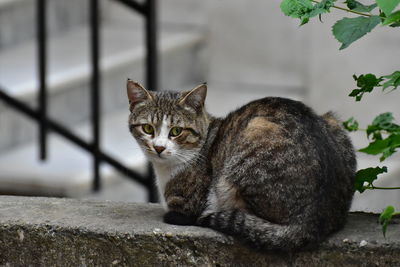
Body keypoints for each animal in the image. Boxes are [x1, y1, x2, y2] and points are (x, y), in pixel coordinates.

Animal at [127, 80, 356, 253]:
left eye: (176, 131)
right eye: (148, 128)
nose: (158, 147)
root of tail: (313, 219)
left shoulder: (186, 203)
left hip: (250, 141)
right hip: (333, 121)